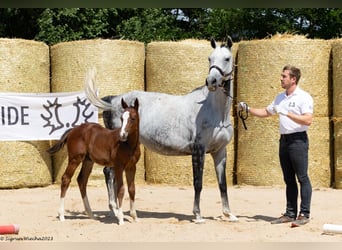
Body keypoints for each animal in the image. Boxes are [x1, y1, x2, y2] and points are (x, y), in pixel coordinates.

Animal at [47, 97, 140, 225]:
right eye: (121, 118)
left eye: (133, 118)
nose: (122, 135)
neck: (128, 145)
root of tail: (74, 130)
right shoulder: (119, 167)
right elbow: (121, 190)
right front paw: (121, 219)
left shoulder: (131, 167)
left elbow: (132, 190)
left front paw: (134, 216)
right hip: (75, 159)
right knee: (66, 179)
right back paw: (61, 215)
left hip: (88, 161)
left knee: (82, 180)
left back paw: (91, 214)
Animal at [85, 36, 238, 223]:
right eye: (209, 58)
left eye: (227, 58)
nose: (211, 81)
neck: (214, 111)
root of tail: (113, 100)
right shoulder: (198, 150)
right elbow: (198, 183)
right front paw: (197, 215)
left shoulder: (220, 151)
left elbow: (222, 184)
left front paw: (229, 214)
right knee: (109, 172)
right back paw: (115, 210)